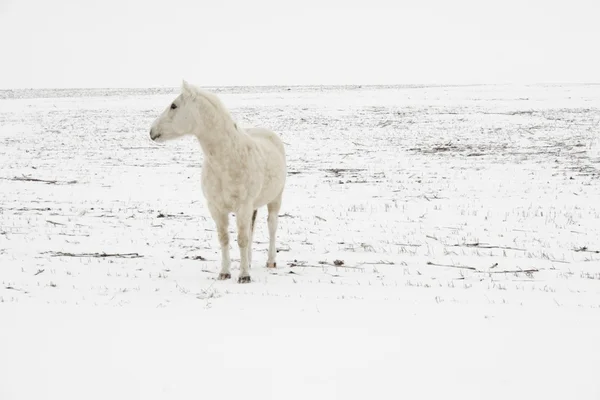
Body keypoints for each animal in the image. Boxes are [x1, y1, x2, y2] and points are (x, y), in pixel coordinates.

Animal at [149, 79, 288, 282]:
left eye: (174, 105)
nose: (152, 131)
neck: (227, 159)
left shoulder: (243, 206)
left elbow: (242, 238)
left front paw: (244, 276)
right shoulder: (216, 208)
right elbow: (225, 238)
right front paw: (225, 272)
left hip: (275, 199)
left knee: (271, 227)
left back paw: (270, 261)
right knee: (252, 229)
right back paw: (249, 261)